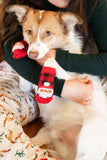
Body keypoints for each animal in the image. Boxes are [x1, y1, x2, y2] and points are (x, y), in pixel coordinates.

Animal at [6, 5, 107, 160]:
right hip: (46, 133)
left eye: (48, 33)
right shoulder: (25, 86)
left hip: (92, 127)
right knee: (32, 142)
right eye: (29, 31)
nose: (32, 54)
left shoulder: (76, 80)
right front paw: (19, 49)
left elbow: (51, 60)